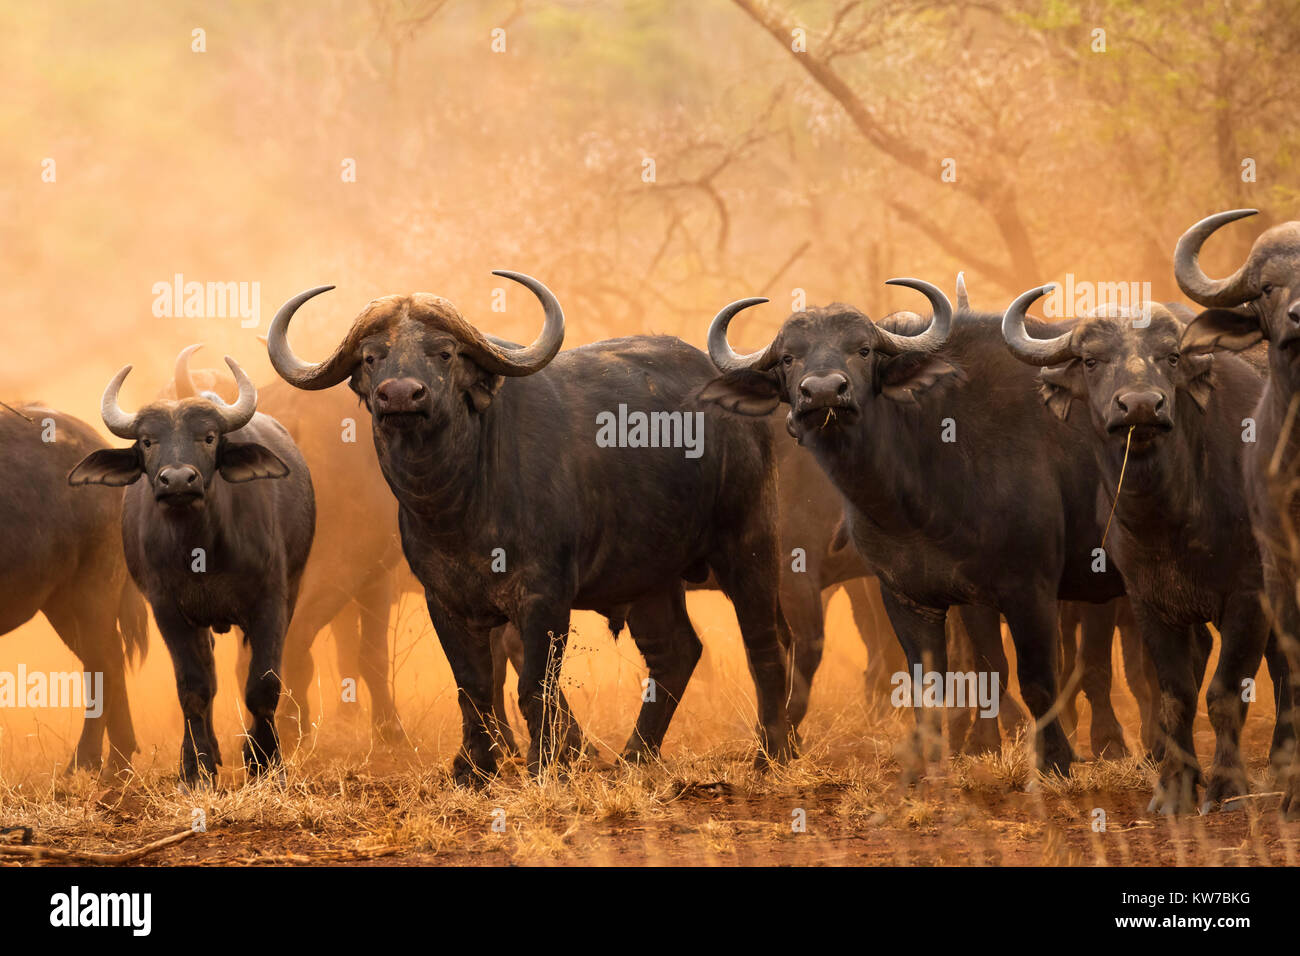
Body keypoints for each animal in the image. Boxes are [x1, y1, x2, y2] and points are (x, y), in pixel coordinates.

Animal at [1, 408, 146, 775]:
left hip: (92, 588)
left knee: (104, 660)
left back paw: (92, 761)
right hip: (62, 603)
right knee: (106, 659)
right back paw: (114, 760)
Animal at [68, 353, 314, 785]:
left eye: (209, 437)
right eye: (148, 441)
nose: (179, 479)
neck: (201, 549)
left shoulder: (272, 600)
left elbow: (262, 683)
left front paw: (266, 765)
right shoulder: (168, 609)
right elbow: (194, 687)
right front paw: (196, 770)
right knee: (208, 674)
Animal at [265, 273, 790, 780]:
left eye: (444, 352)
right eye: (372, 356)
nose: (399, 395)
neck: (459, 502)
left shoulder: (544, 596)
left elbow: (533, 683)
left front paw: (545, 763)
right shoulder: (444, 600)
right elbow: (473, 685)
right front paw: (475, 766)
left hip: (747, 544)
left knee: (763, 642)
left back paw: (773, 753)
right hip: (649, 577)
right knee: (676, 652)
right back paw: (635, 757)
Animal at [702, 278, 1128, 780]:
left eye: (863, 349)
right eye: (788, 357)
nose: (823, 392)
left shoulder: (1031, 586)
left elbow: (1040, 676)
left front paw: (1059, 759)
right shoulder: (910, 594)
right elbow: (945, 679)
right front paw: (938, 761)